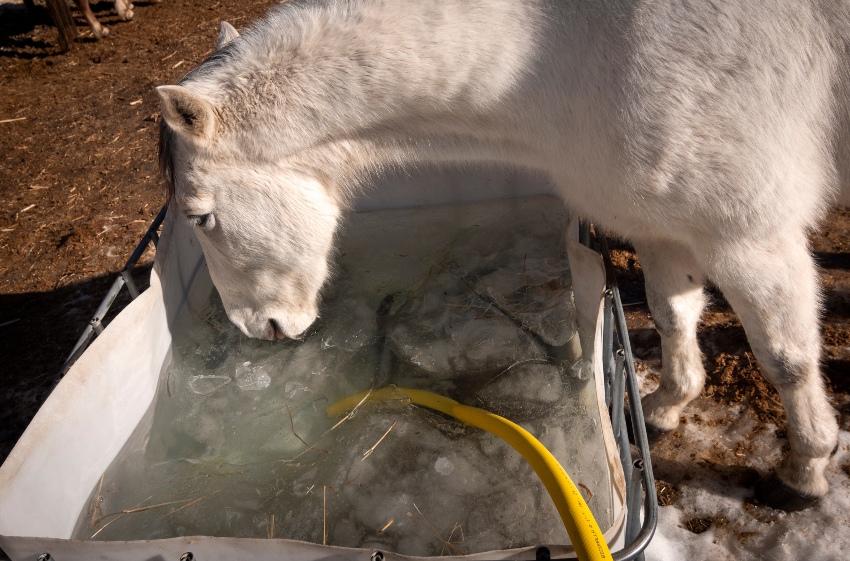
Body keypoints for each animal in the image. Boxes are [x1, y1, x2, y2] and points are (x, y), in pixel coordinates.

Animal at [156, 0, 844, 508]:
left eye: (200, 217)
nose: (257, 328)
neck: (579, 54)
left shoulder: (750, 238)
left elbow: (786, 360)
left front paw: (807, 471)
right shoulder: (664, 229)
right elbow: (674, 317)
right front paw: (670, 406)